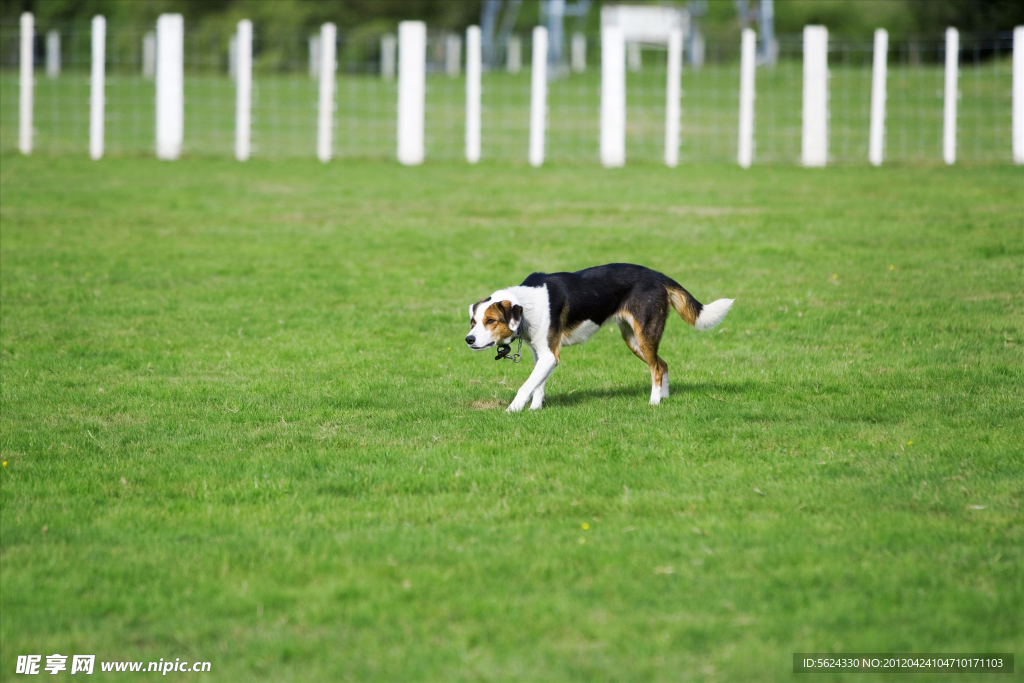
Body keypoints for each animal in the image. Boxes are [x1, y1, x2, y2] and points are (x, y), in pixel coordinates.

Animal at [468, 262, 733, 411]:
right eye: (473, 321)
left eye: (491, 321)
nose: (468, 340)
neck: (527, 305)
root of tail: (658, 275)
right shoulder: (540, 354)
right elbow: (537, 385)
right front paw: (535, 409)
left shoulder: (550, 356)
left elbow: (526, 386)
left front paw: (512, 410)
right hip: (633, 340)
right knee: (662, 363)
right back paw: (664, 397)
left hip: (644, 334)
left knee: (657, 368)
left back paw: (654, 403)